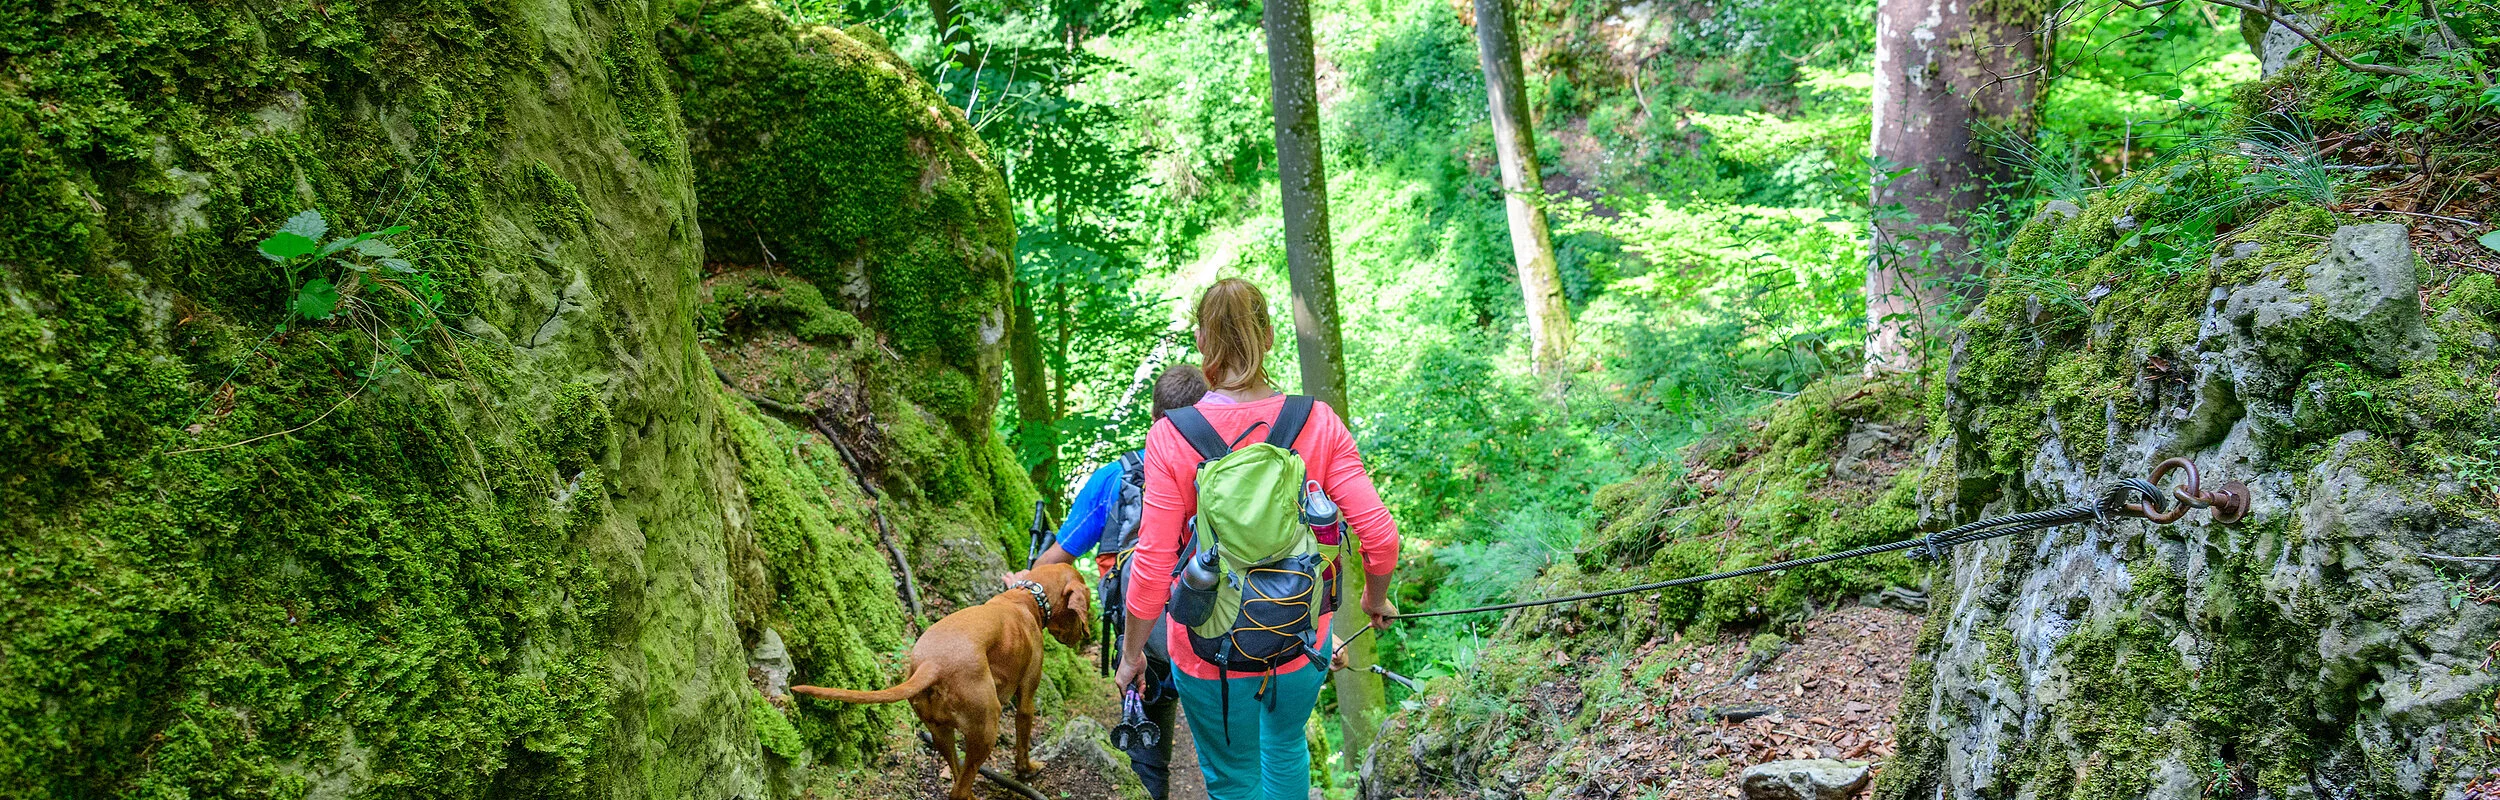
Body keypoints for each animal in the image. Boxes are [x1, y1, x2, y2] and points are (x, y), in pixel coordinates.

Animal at [790, 560, 1085, 795]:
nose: (1085, 635)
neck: (1027, 598)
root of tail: (931, 665)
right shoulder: (1026, 699)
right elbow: (1023, 743)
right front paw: (1027, 769)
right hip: (986, 730)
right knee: (959, 790)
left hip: (941, 733)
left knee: (957, 780)